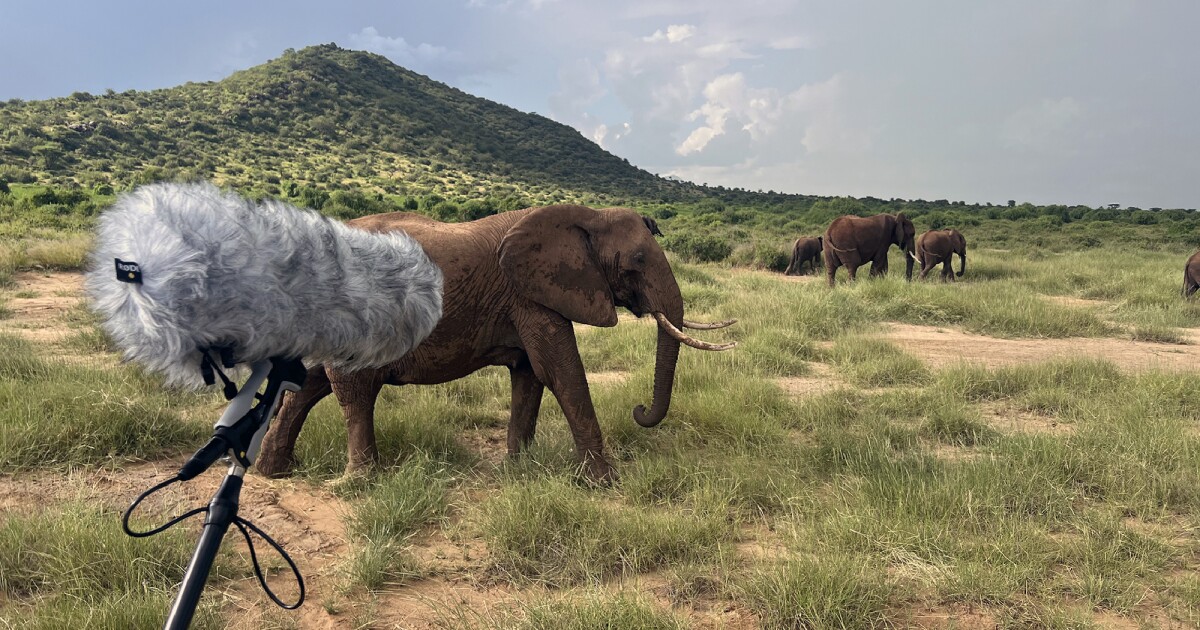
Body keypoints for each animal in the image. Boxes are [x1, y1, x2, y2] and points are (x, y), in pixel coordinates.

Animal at [258, 206, 734, 482]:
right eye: (636, 260)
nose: (639, 410)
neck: (587, 215)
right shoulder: (530, 294)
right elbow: (561, 372)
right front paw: (603, 481)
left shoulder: (529, 296)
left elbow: (530, 375)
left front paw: (518, 471)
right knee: (352, 390)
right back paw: (360, 482)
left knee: (310, 385)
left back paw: (274, 471)